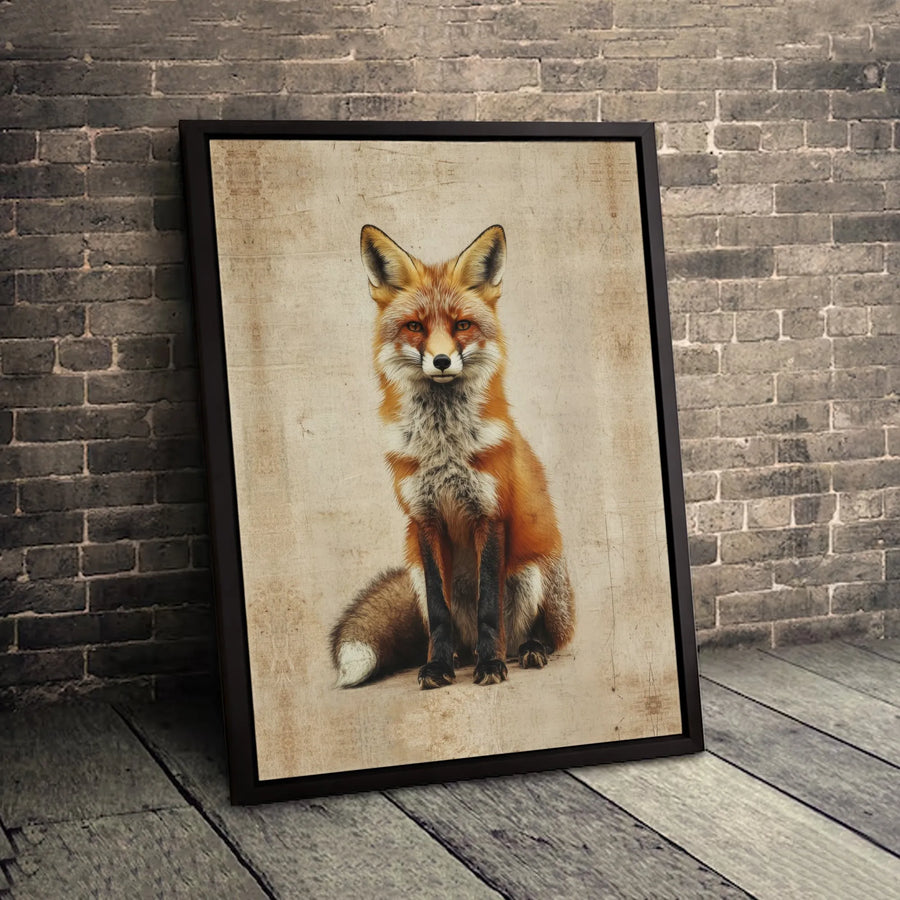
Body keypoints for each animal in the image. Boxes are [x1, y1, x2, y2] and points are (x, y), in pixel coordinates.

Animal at [330, 223, 575, 690]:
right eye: (415, 326)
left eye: (462, 325)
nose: (442, 360)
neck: (443, 448)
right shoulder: (424, 520)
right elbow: (439, 610)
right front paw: (438, 667)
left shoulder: (490, 515)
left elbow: (488, 608)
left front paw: (491, 666)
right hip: (412, 570)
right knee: (452, 629)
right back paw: (460, 657)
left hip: (533, 573)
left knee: (542, 636)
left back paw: (525, 650)